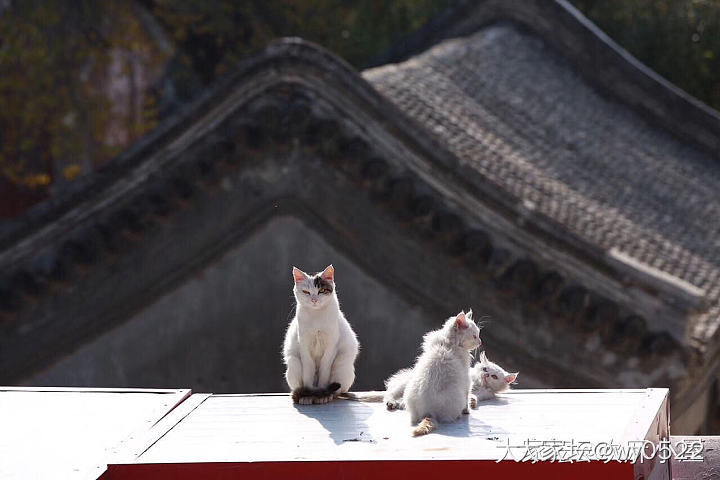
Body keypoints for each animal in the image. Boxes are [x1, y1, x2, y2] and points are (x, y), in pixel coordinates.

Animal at [282, 266, 358, 404]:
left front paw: (323, 395)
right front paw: (307, 395)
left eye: (321, 290)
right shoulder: (304, 348)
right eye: (306, 292)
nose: (314, 300)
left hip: (342, 365)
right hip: (293, 363)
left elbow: (324, 372)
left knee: (338, 390)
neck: (316, 315)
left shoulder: (331, 348)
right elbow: (308, 373)